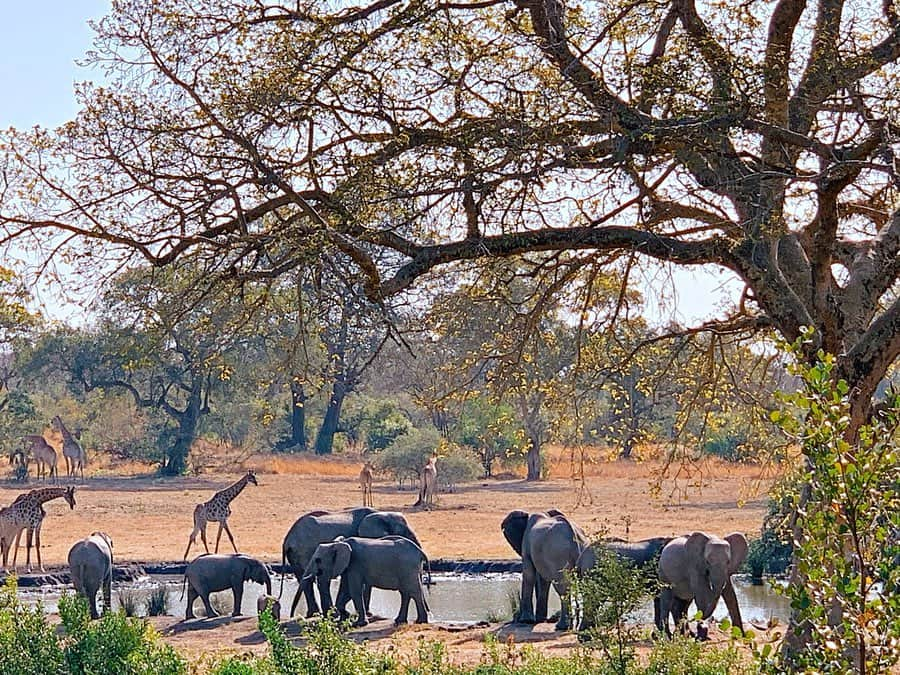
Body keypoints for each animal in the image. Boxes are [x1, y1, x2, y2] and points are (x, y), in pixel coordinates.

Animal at [282, 508, 422, 616]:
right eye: (406, 533)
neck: (381, 514)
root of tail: (288, 539)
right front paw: (367, 613)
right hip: (304, 550)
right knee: (318, 580)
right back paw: (324, 613)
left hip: (296, 555)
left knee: (305, 579)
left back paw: (315, 613)